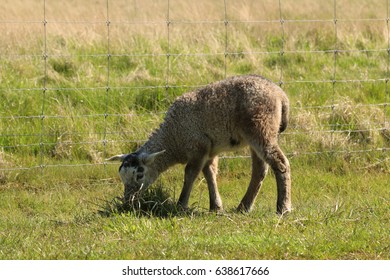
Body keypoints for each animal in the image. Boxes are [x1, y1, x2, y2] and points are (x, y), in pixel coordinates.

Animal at [108, 74, 290, 214]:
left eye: (139, 175)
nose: (128, 202)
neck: (174, 137)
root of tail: (280, 95)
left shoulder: (197, 145)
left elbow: (190, 174)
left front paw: (181, 205)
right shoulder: (209, 149)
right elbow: (210, 174)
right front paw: (215, 207)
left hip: (261, 126)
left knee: (280, 163)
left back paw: (283, 207)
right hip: (256, 133)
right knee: (260, 170)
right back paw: (244, 207)